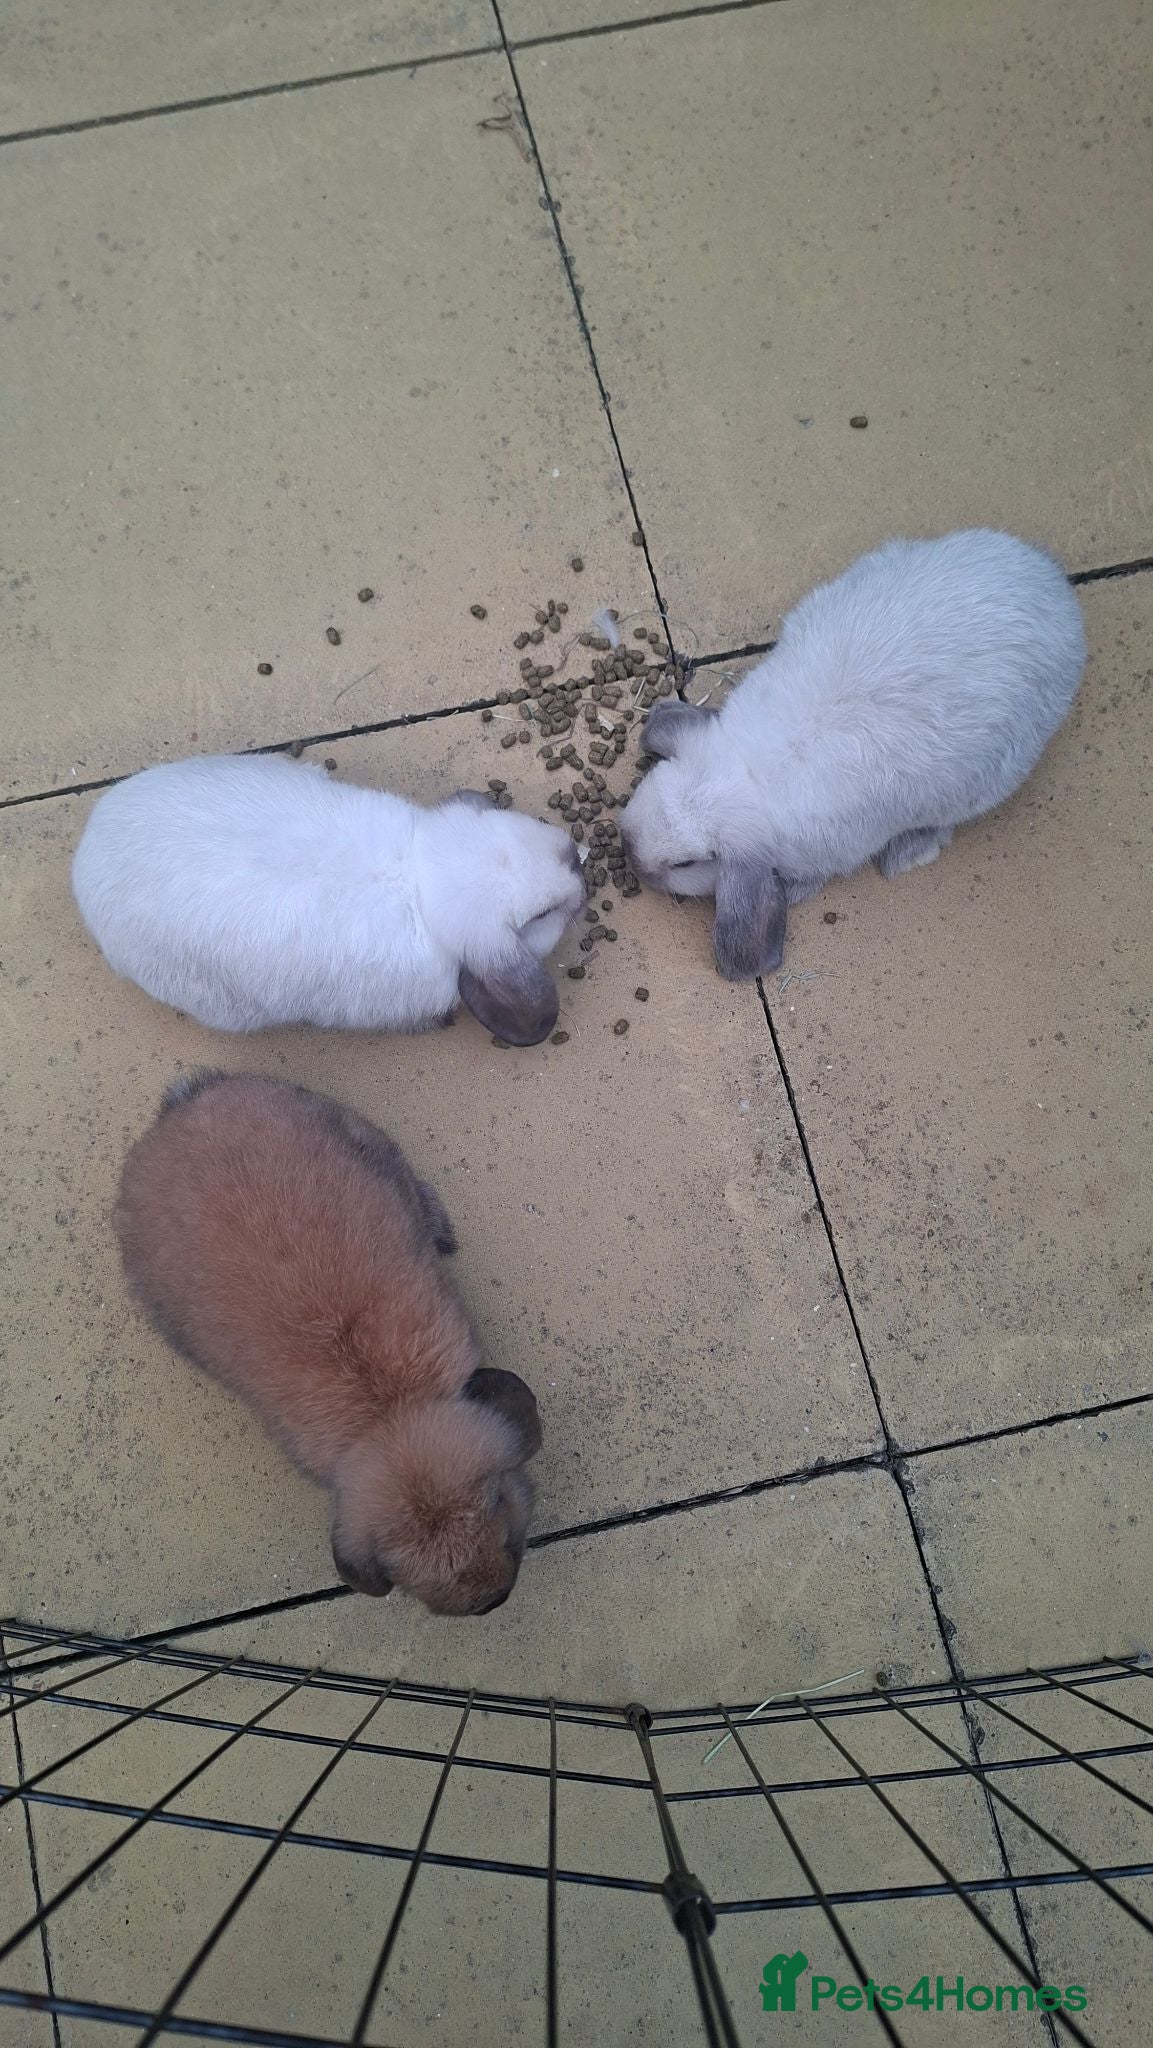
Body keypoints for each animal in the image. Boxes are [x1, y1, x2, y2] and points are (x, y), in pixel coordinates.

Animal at [621, 530, 1087, 977]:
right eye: (654, 780)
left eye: (686, 864)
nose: (629, 851)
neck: (746, 776)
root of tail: (1053, 586)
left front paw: (794, 892)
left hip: (990, 777)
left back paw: (906, 854)